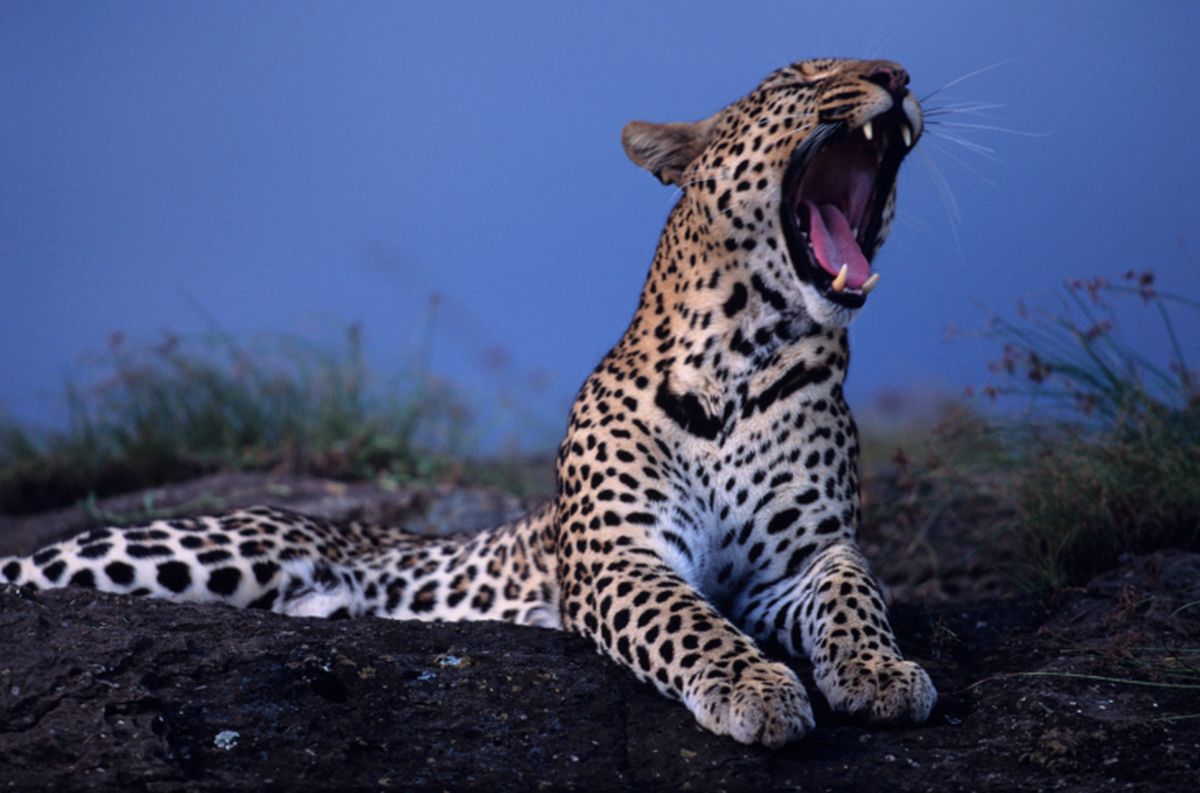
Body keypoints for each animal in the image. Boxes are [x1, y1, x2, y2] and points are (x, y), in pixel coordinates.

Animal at [1, 57, 936, 747]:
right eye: (797, 81)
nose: (896, 72)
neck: (747, 354)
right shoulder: (619, 557)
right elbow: (688, 621)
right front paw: (755, 686)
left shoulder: (804, 556)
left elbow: (855, 597)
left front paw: (882, 673)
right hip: (192, 551)